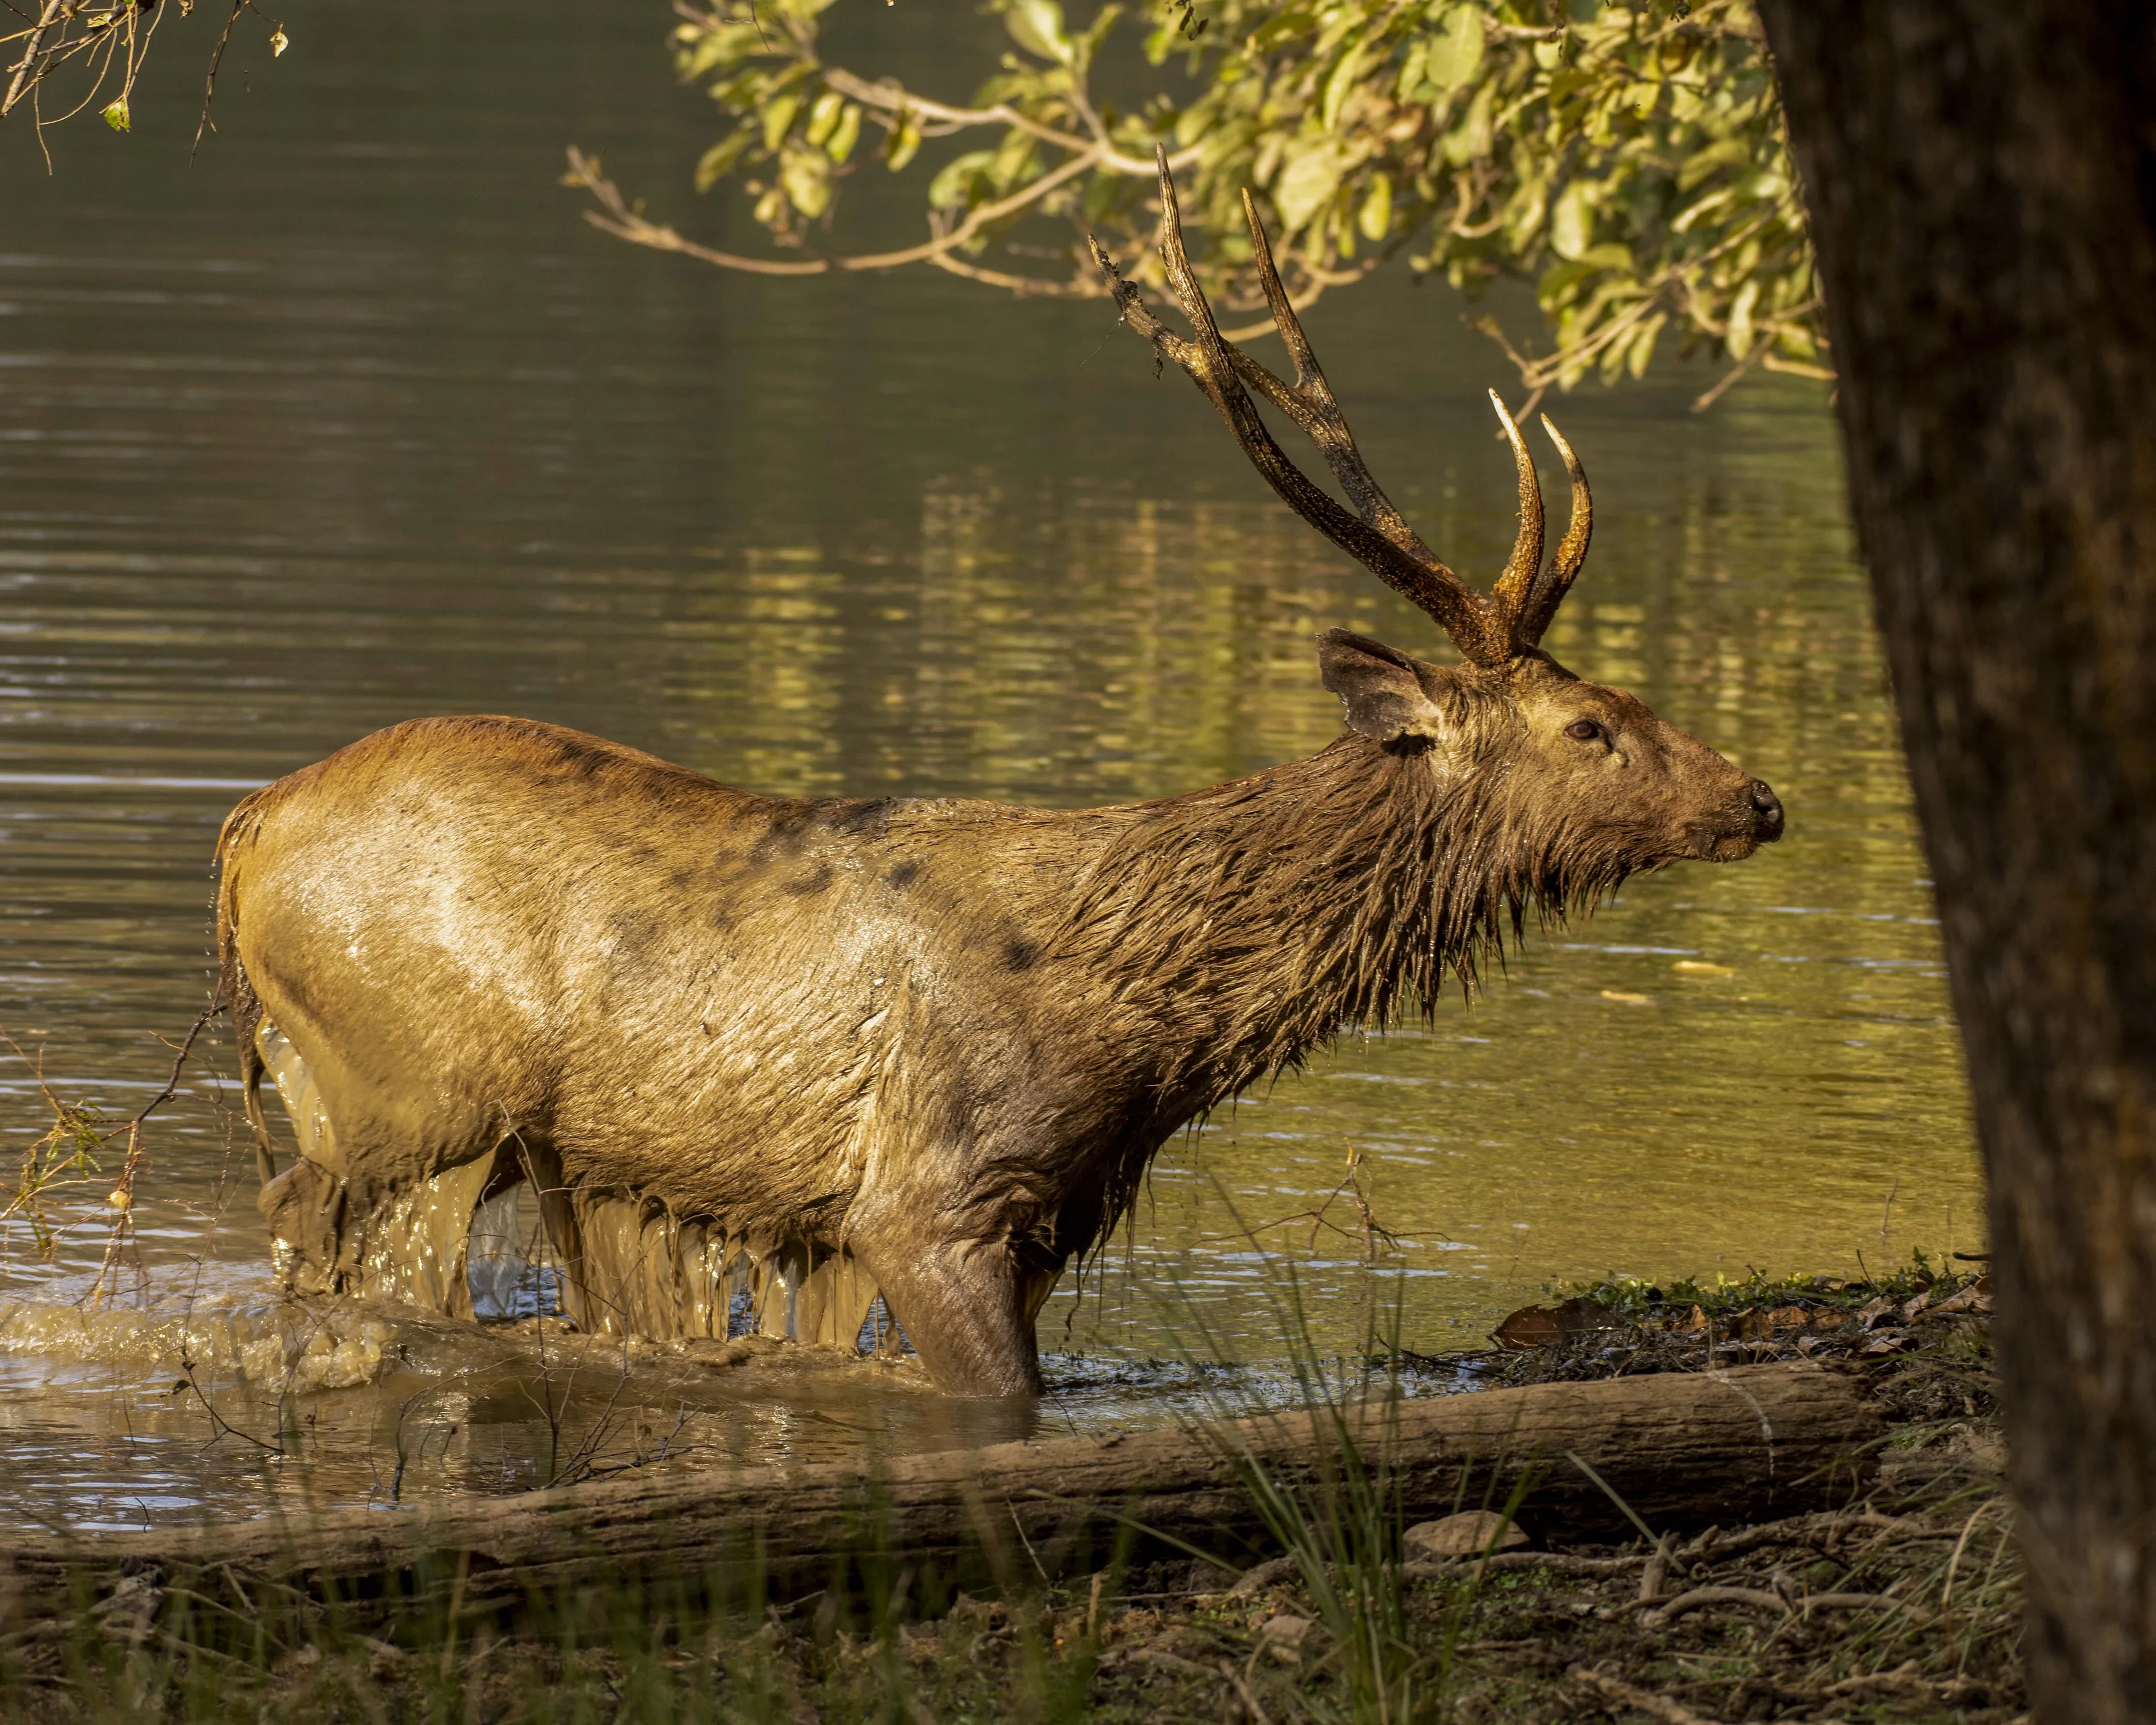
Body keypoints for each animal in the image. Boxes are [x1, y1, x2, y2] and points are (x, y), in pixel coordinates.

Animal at [214, 155, 1783, 1397]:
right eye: (1589, 727)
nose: (1758, 800)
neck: (1157, 1027)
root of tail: (248, 827)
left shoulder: (1054, 1212)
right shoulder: (928, 1197)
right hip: (402, 1083)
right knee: (294, 1203)